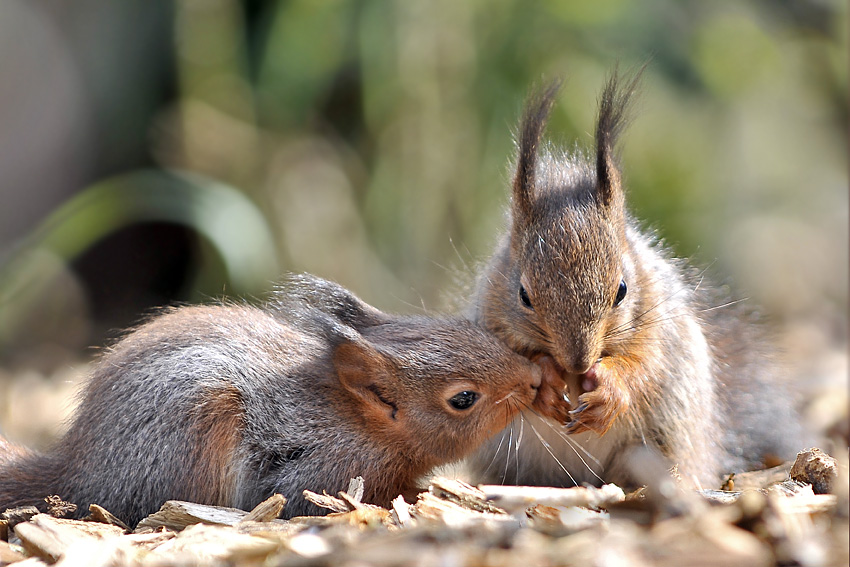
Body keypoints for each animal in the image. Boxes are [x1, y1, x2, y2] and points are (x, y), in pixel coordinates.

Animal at [1, 272, 544, 524]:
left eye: (466, 328)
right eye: (464, 399)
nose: (535, 378)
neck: (356, 421)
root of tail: (79, 473)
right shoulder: (323, 470)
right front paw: (418, 499)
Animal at [468, 69, 804, 490]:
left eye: (622, 290)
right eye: (524, 295)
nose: (578, 363)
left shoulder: (661, 327)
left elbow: (645, 364)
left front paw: (610, 388)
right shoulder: (488, 317)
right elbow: (510, 360)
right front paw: (546, 381)